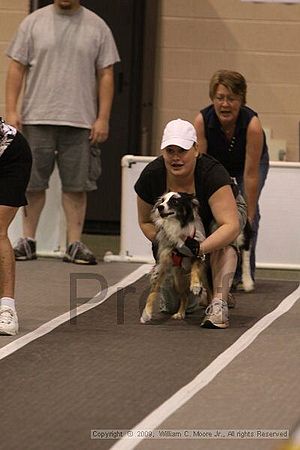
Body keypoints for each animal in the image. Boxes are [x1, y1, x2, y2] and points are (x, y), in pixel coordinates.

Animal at [141, 192, 211, 324]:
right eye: (162, 201)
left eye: (175, 201)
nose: (160, 207)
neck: (175, 225)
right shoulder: (162, 264)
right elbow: (153, 290)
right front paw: (146, 313)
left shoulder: (196, 250)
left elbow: (195, 268)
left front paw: (195, 285)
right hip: (177, 280)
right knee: (184, 297)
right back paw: (180, 313)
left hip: (205, 277)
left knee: (210, 292)